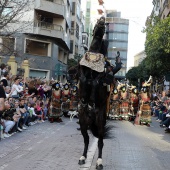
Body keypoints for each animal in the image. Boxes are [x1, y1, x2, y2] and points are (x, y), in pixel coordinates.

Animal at [67, 16, 122, 169]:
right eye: (97, 21)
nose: (102, 20)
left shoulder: (102, 78)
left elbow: (99, 80)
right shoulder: (81, 74)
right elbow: (83, 77)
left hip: (100, 122)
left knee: (100, 141)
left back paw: (99, 161)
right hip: (83, 122)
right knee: (86, 139)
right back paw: (83, 157)